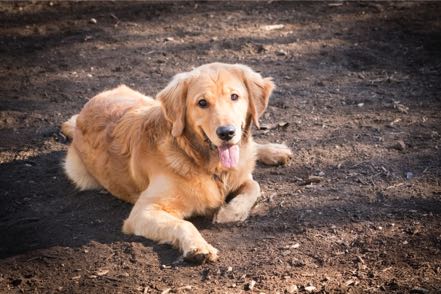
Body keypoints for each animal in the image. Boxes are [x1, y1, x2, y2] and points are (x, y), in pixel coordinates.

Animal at [60, 63, 290, 262]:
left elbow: (254, 186)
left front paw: (229, 213)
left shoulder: (240, 175)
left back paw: (275, 150)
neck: (203, 162)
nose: (227, 133)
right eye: (202, 103)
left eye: (234, 96)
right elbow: (185, 224)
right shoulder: (143, 211)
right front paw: (199, 247)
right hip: (79, 174)